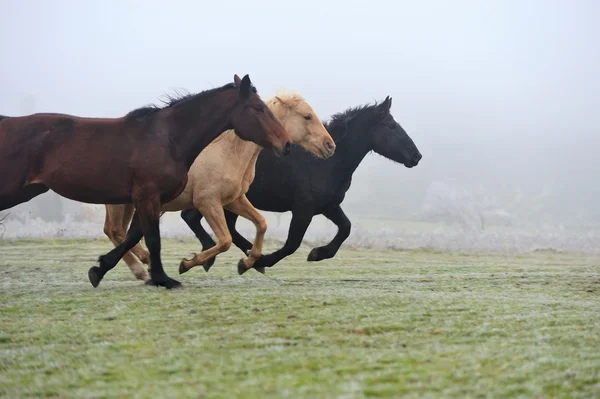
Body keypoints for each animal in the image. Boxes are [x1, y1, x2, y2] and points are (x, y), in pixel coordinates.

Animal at [0, 74, 290, 290]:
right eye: (259, 108)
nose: (286, 144)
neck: (167, 139)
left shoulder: (148, 200)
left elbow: (134, 236)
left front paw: (100, 269)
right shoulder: (150, 197)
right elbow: (152, 238)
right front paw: (164, 278)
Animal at [104, 92, 338, 282]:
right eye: (307, 116)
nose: (330, 145)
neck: (227, 151)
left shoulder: (234, 199)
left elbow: (261, 223)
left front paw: (248, 263)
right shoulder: (208, 203)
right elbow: (225, 240)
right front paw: (188, 263)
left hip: (130, 204)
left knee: (118, 232)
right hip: (123, 203)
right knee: (117, 231)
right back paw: (141, 266)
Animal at [178, 95, 422, 274]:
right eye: (391, 126)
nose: (416, 156)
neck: (324, 163)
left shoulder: (328, 206)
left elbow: (346, 227)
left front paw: (318, 253)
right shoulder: (304, 209)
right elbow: (292, 243)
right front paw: (263, 261)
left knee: (199, 220)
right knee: (202, 221)